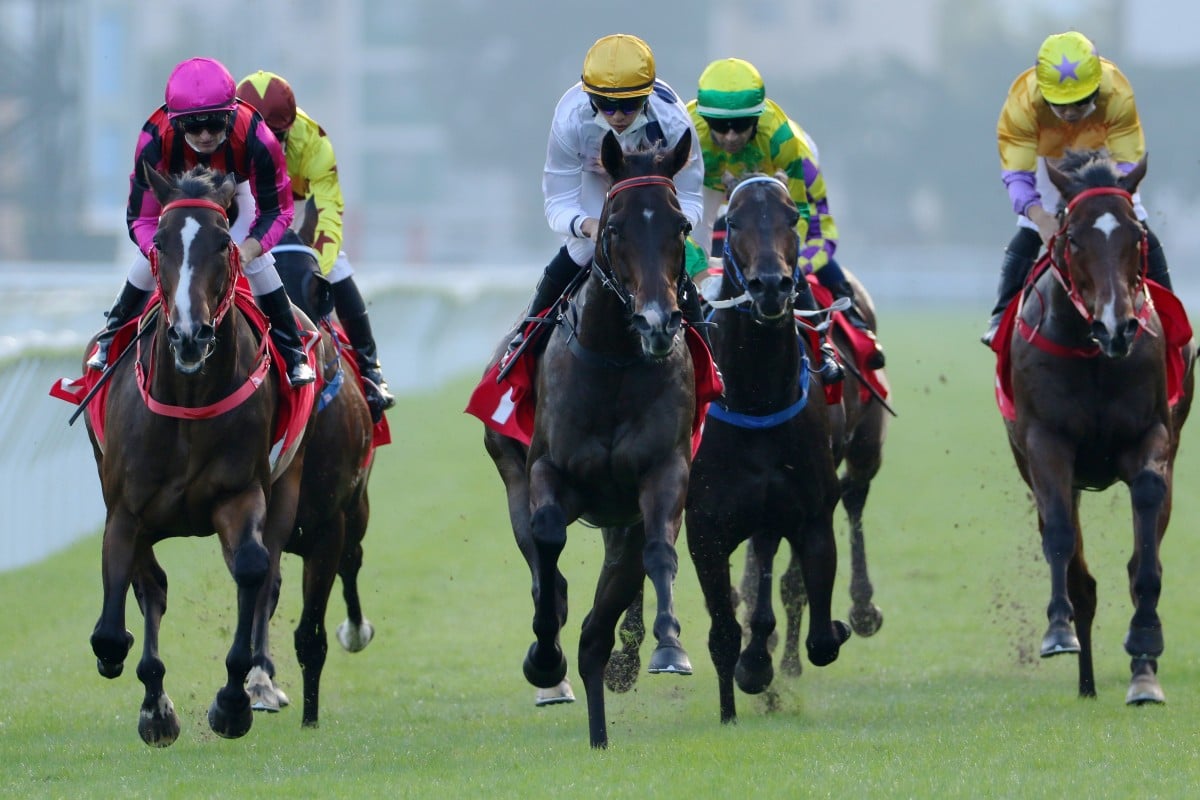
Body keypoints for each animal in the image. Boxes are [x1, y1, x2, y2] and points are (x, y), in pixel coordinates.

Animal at [85, 164, 314, 743]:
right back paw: (155, 704)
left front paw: (232, 702)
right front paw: (148, 696)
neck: (188, 399)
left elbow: (251, 569)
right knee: (152, 589)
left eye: (223, 243)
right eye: (160, 244)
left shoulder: (241, 493)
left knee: (264, 570)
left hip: (288, 482)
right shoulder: (125, 509)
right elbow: (116, 623)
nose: (190, 335)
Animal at [475, 130, 700, 753]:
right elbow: (549, 541)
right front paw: (543, 658)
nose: (656, 322)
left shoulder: (663, 473)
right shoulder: (547, 470)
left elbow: (661, 551)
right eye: (615, 227)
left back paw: (600, 729)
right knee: (543, 570)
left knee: (597, 632)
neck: (617, 363)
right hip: (511, 475)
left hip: (620, 527)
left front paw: (670, 646)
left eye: (681, 226)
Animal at [686, 175, 854, 724]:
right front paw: (728, 712)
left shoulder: (812, 515)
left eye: (792, 217)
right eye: (734, 221)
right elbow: (722, 631)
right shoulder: (704, 529)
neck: (756, 398)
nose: (772, 286)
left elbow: (822, 639)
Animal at [1003, 148, 1190, 700]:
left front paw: (1145, 642)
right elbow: (1060, 535)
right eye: (1074, 239)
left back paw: (1142, 678)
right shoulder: (1045, 443)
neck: (1092, 354)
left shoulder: (1152, 434)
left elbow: (1145, 543)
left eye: (1136, 237)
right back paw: (1084, 677)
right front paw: (1058, 629)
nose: (1117, 326)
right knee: (1075, 567)